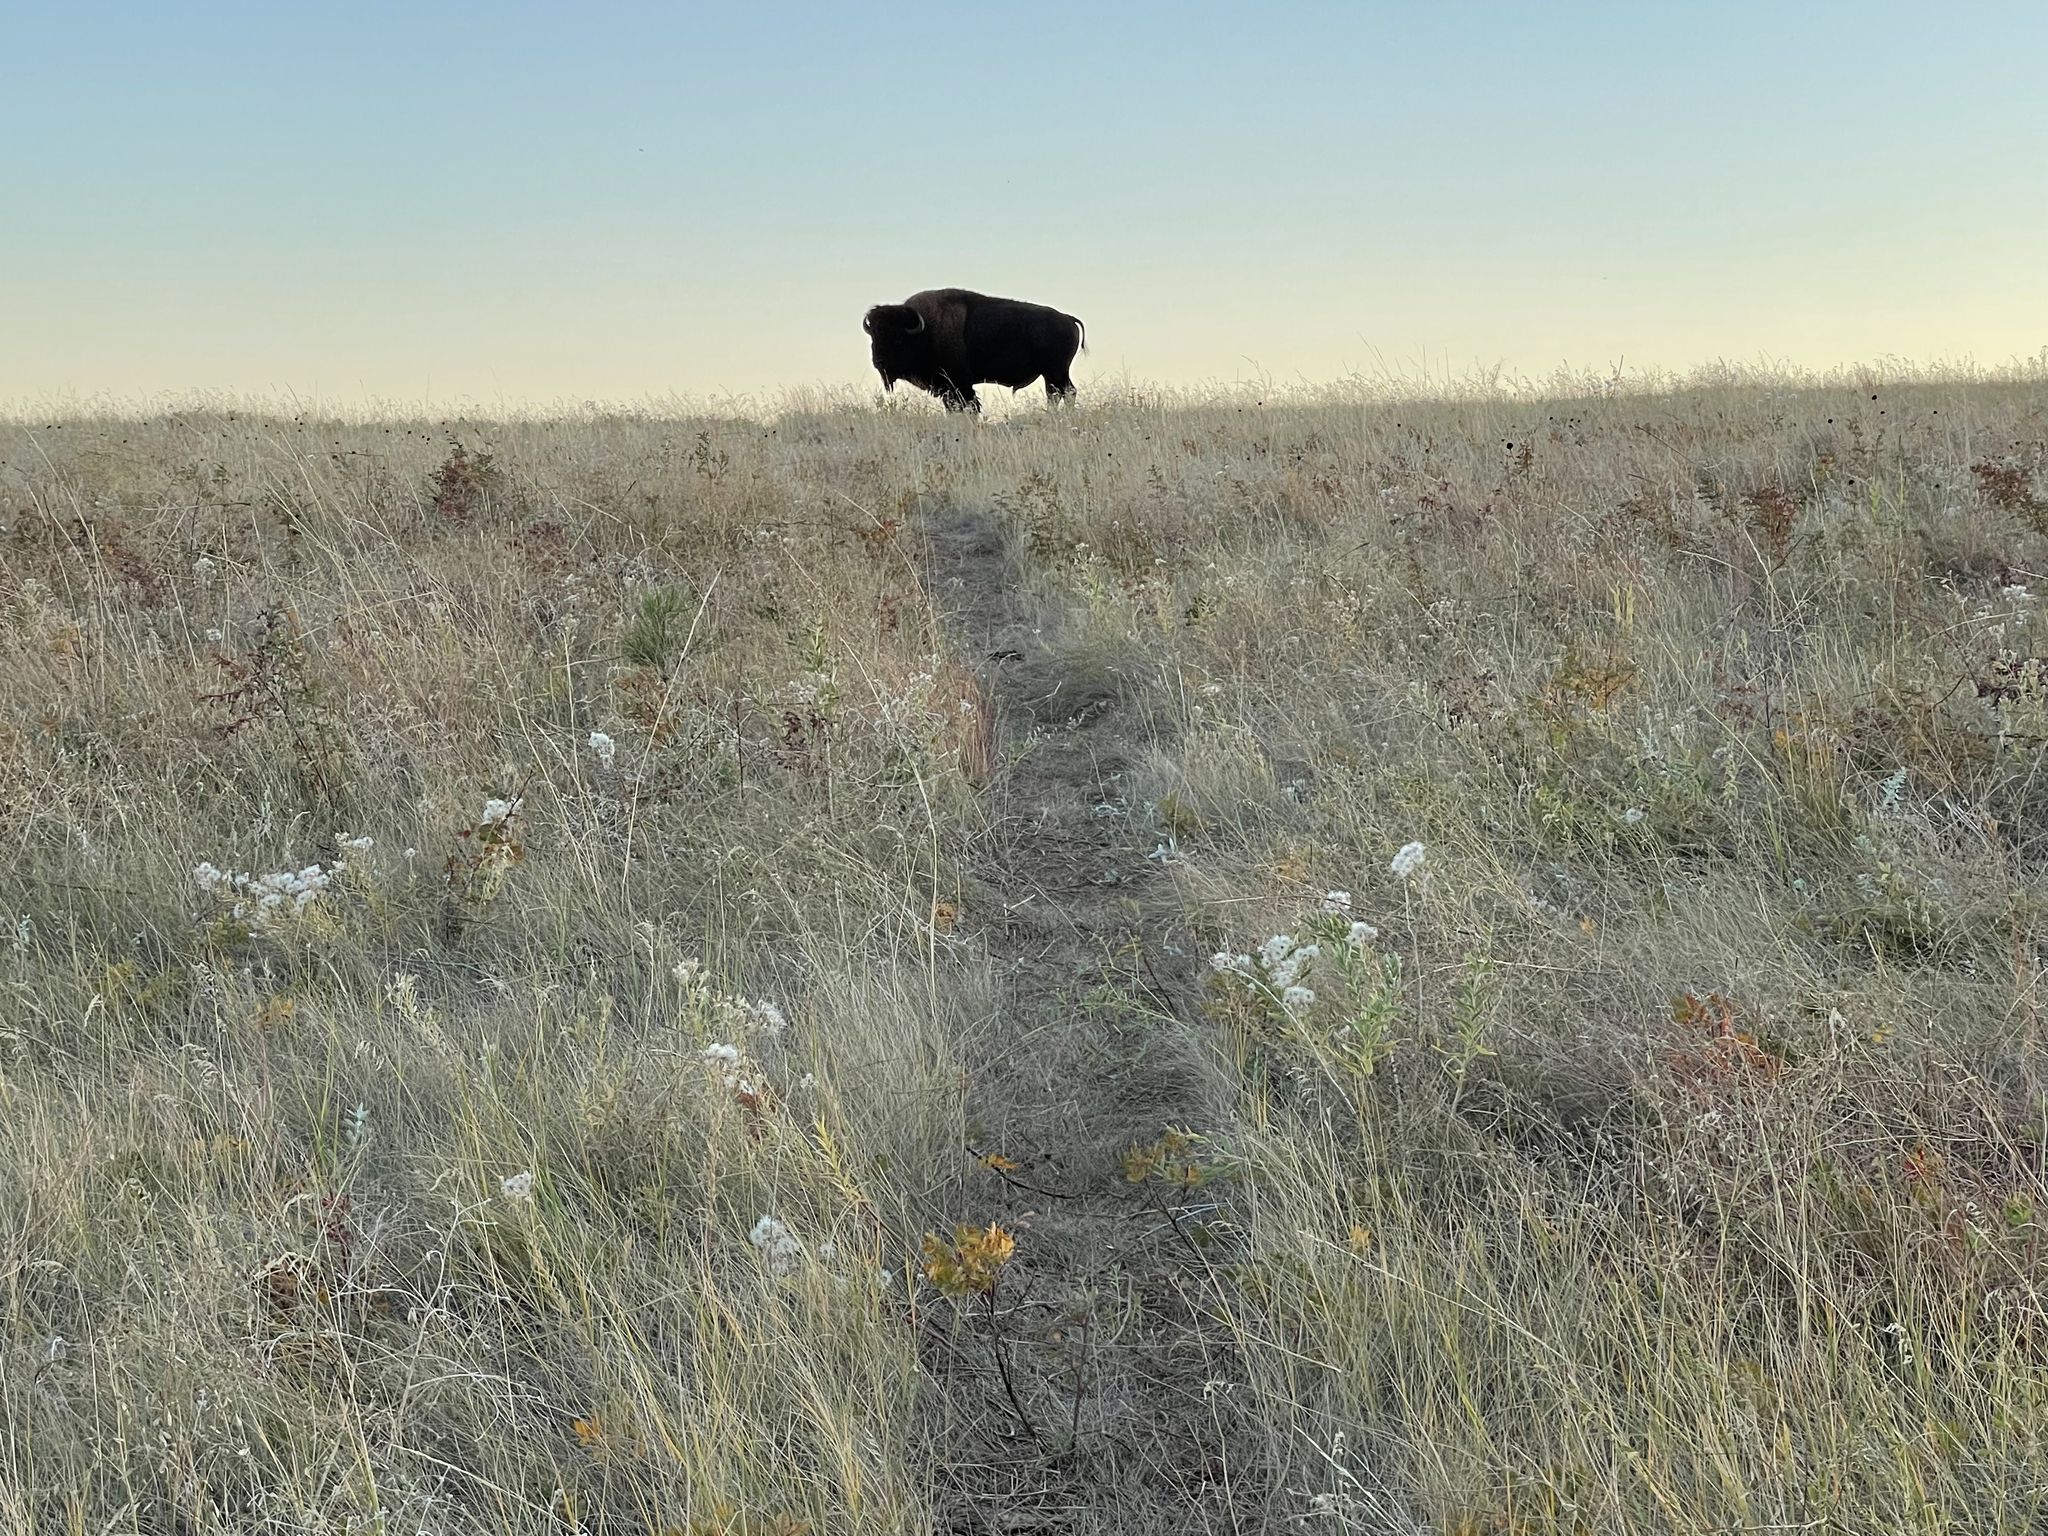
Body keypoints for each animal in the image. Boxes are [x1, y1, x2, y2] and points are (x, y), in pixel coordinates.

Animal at [862, 288, 1085, 413]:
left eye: (898, 339)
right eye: (873, 337)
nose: (879, 362)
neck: (925, 331)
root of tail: (1068, 318)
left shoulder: (959, 384)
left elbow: (969, 406)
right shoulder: (948, 388)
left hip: (1056, 371)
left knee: (1066, 392)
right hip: (1051, 374)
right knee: (1055, 394)